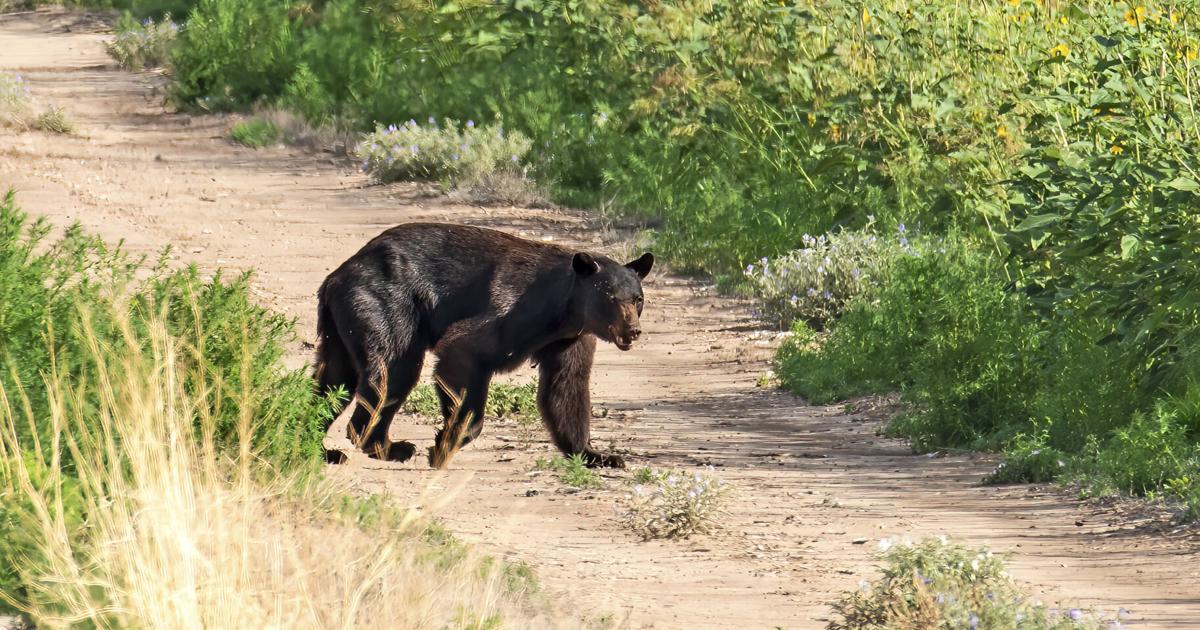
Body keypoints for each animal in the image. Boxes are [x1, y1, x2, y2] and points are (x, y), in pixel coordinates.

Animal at [313, 222, 653, 469]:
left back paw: (322, 446)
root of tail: (336, 277)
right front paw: (443, 445)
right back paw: (386, 445)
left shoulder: (570, 339)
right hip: (384, 303)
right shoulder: (514, 310)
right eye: (612, 298)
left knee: (334, 381)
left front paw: (598, 454)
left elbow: (566, 388)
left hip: (341, 325)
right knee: (394, 368)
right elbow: (463, 352)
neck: (564, 309)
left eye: (638, 299)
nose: (633, 331)